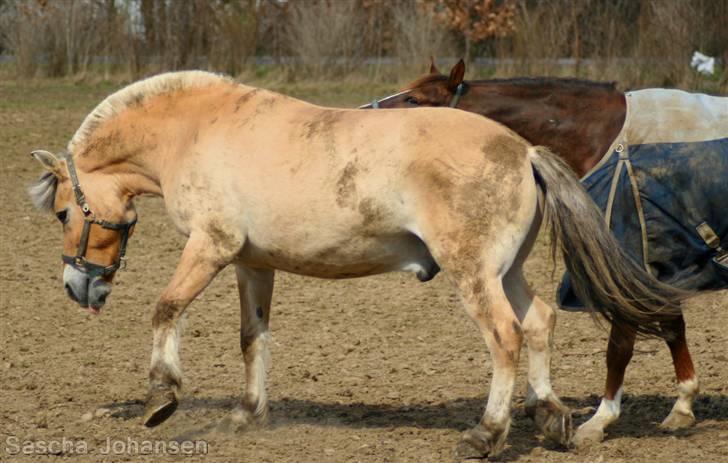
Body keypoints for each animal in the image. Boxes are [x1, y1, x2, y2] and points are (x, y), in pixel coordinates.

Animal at [29, 70, 684, 458]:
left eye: (63, 212)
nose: (76, 285)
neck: (196, 130)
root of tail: (523, 150)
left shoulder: (209, 248)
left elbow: (165, 309)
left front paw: (161, 398)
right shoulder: (250, 263)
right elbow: (252, 337)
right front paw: (246, 414)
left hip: (475, 275)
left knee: (505, 336)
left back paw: (486, 433)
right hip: (508, 272)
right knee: (539, 321)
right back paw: (549, 415)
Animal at [362, 59, 724, 448]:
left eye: (414, 99)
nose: (364, 114)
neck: (607, 138)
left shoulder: (631, 265)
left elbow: (620, 347)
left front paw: (600, 419)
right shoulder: (656, 266)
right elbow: (672, 327)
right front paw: (683, 405)